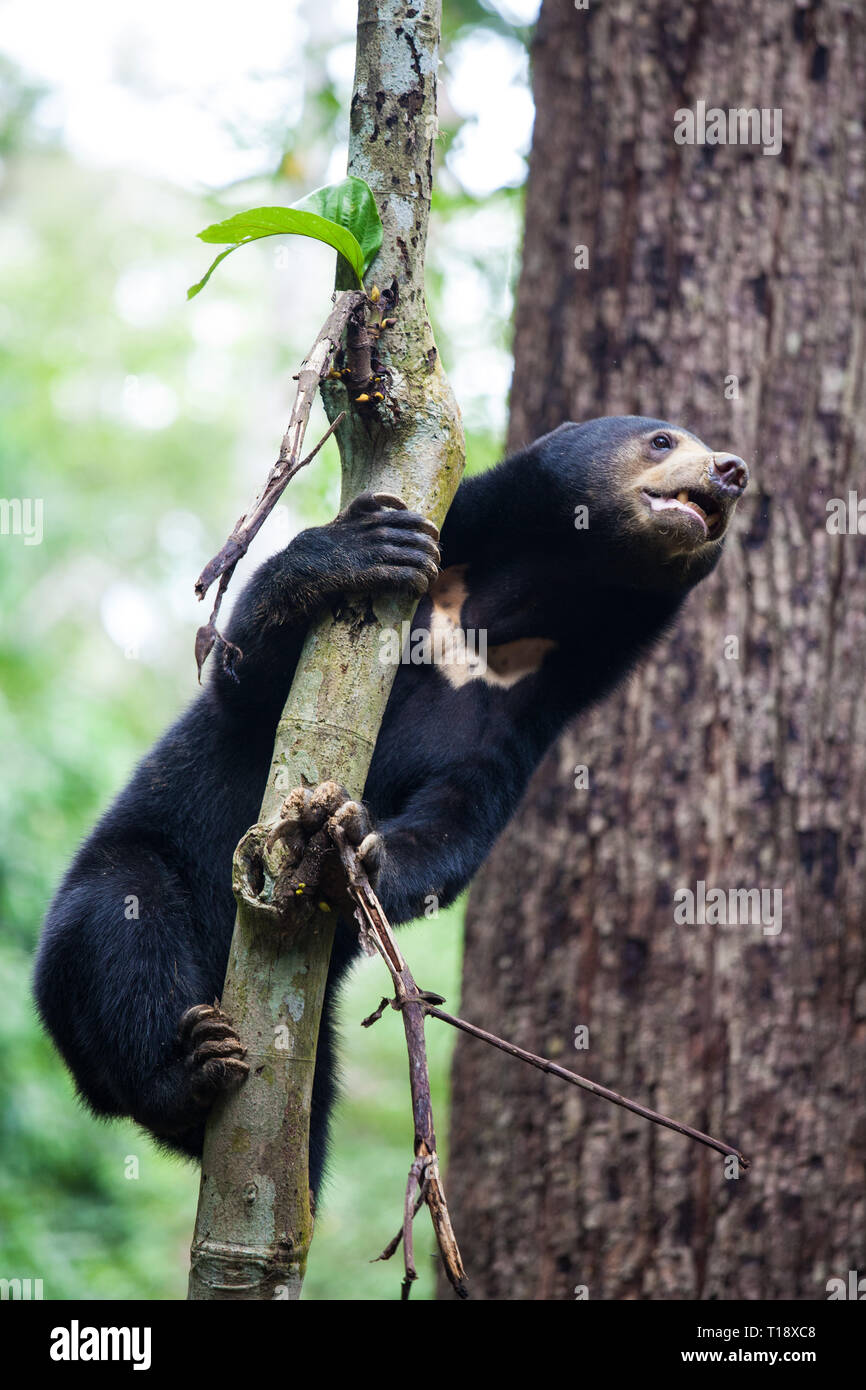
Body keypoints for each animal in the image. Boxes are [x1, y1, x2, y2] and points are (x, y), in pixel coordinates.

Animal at [33, 414, 750, 1195]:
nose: (732, 471)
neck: (508, 614)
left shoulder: (517, 719)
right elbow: (248, 684)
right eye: (662, 440)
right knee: (120, 929)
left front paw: (357, 846)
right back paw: (185, 1067)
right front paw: (362, 548)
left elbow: (454, 829)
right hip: (124, 886)